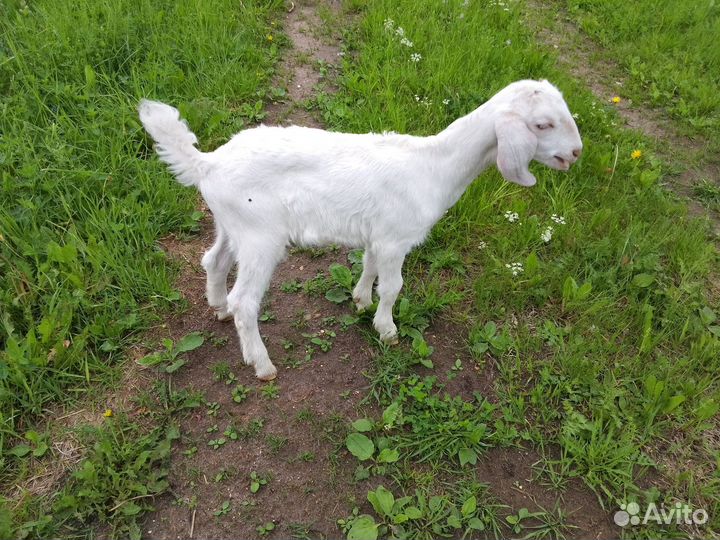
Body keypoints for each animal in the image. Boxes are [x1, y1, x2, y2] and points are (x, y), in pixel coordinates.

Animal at [139, 79, 582, 381]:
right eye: (543, 124)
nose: (576, 153)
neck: (434, 166)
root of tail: (207, 164)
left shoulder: (378, 235)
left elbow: (368, 267)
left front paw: (360, 301)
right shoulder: (395, 239)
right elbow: (394, 287)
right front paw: (387, 329)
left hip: (232, 225)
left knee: (213, 261)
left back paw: (217, 308)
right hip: (260, 236)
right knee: (245, 302)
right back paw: (262, 364)